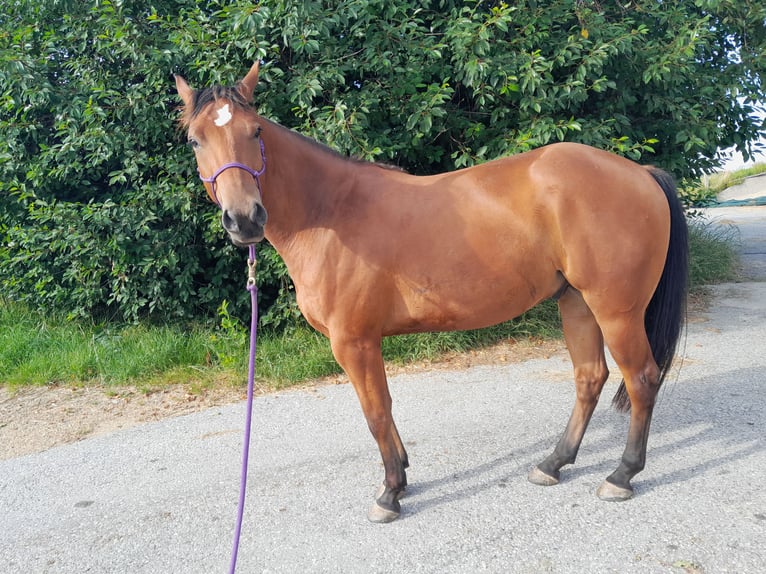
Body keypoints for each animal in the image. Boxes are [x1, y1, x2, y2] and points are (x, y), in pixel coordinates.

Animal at [175, 62, 688, 523]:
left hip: (616, 310)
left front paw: (389, 493)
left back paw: (621, 475)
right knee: (589, 378)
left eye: (255, 131)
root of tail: (640, 172)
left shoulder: (354, 342)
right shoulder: (365, 342)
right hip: (577, 302)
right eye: (196, 140)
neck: (330, 212)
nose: (245, 219)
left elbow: (376, 412)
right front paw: (401, 474)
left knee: (641, 378)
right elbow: (384, 409)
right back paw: (552, 464)